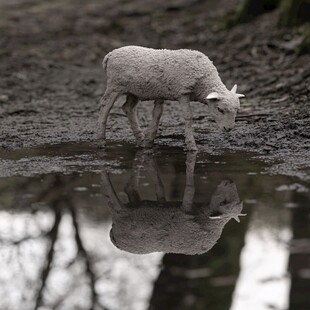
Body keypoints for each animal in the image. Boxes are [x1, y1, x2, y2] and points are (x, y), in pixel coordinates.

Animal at [97, 46, 245, 151]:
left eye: (237, 110)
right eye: (220, 109)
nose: (229, 128)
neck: (203, 80)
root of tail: (109, 55)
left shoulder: (160, 93)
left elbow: (157, 114)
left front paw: (149, 140)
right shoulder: (182, 92)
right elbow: (188, 117)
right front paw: (192, 146)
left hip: (134, 90)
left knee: (128, 108)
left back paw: (140, 139)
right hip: (114, 85)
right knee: (104, 108)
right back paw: (101, 140)